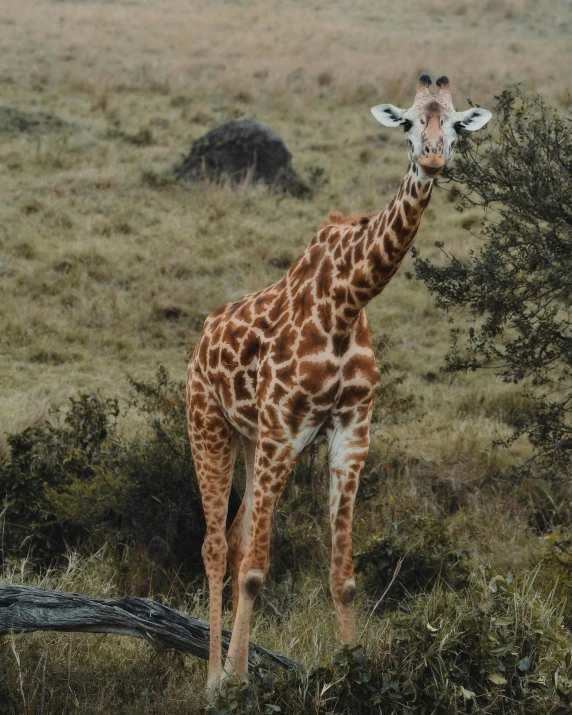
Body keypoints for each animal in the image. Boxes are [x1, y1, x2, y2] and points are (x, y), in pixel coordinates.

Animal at [187, 72, 492, 692]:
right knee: (215, 545)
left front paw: (355, 672)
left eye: (454, 125)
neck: (348, 302)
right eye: (408, 123)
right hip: (209, 426)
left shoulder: (352, 429)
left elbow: (343, 575)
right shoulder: (285, 427)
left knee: (235, 537)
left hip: (251, 439)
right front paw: (237, 684)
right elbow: (255, 570)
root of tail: (200, 341)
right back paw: (211, 678)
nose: (431, 157)